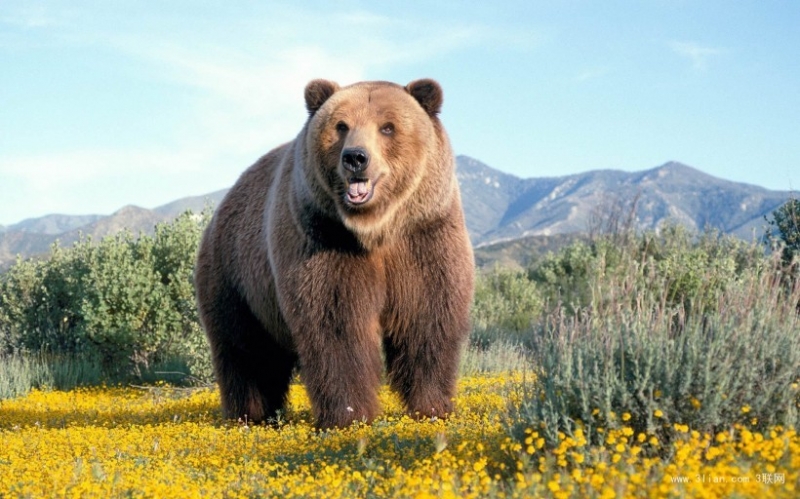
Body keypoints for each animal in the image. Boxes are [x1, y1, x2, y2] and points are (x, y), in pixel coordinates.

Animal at [195, 79, 476, 430]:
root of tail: (222, 207)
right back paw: (250, 415)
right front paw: (349, 415)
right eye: (341, 126)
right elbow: (337, 324)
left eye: (387, 127)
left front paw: (433, 407)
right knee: (246, 351)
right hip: (236, 278)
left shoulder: (424, 236)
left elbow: (427, 318)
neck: (375, 229)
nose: (355, 157)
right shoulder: (324, 239)